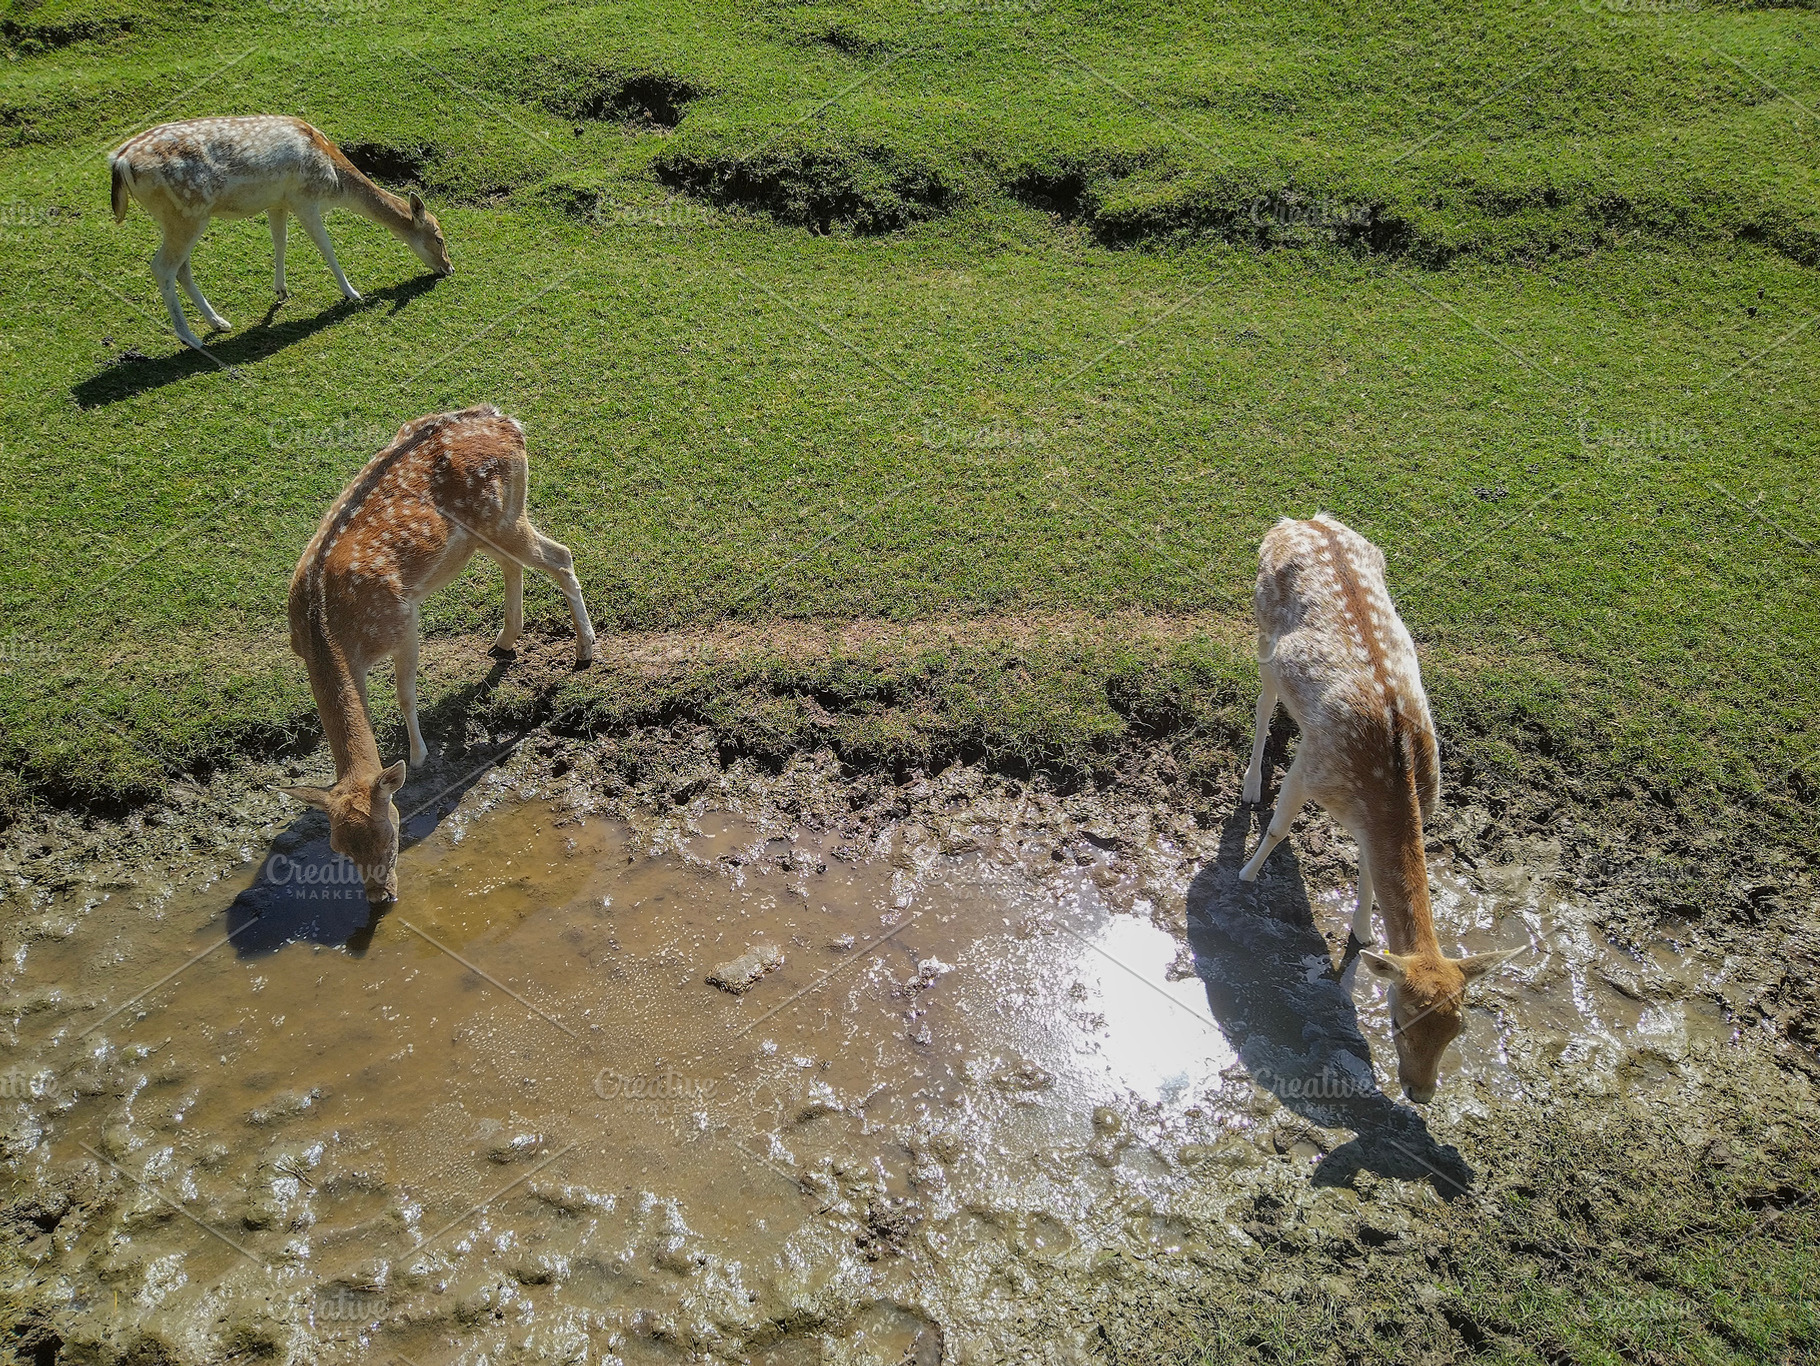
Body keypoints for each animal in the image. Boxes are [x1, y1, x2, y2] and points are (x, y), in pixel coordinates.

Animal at [109, 115, 452, 350]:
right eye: (439, 237)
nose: (449, 268)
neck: (335, 181)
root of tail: (120, 161)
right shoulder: (304, 198)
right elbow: (325, 246)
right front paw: (353, 293)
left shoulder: (278, 201)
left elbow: (280, 241)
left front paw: (281, 291)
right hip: (187, 213)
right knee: (162, 267)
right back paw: (191, 338)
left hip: (177, 218)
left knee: (181, 269)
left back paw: (219, 323)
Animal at [280, 405, 595, 904]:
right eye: (339, 849)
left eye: (390, 833)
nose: (380, 897)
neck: (328, 631)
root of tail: (506, 420)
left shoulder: (403, 619)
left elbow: (405, 693)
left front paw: (420, 755)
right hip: (481, 534)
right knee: (514, 564)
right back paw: (506, 641)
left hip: (502, 516)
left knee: (559, 555)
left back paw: (584, 650)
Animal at [1237, 513, 1519, 1103]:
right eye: (1398, 1022)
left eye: (1459, 1028)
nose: (1420, 1092)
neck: (1386, 785)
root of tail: (1301, 519)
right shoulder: (1312, 766)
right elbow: (1277, 828)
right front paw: (1246, 875)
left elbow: (1366, 866)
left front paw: (1364, 930)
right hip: (1262, 628)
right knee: (1263, 701)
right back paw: (1250, 784)